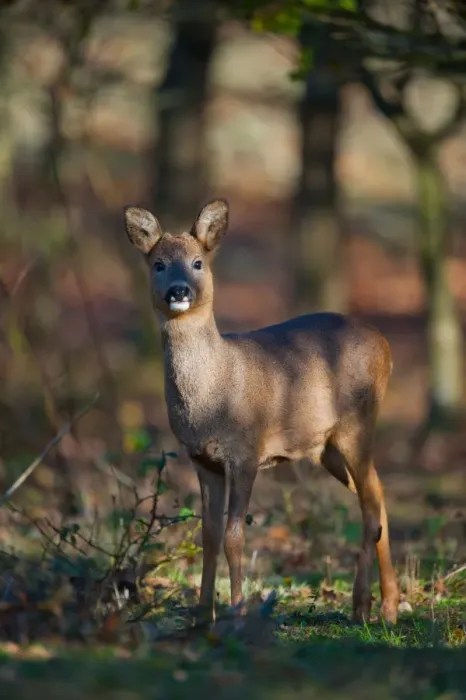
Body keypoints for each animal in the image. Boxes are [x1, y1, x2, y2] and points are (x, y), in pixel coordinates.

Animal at [124, 198, 400, 625]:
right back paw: (387, 601)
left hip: (358, 423)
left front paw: (236, 611)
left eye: (198, 262)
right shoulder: (202, 460)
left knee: (371, 509)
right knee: (378, 495)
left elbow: (235, 536)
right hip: (328, 447)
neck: (213, 397)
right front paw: (202, 615)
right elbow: (208, 535)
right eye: (158, 263)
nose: (178, 290)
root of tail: (386, 346)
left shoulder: (246, 451)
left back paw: (371, 607)